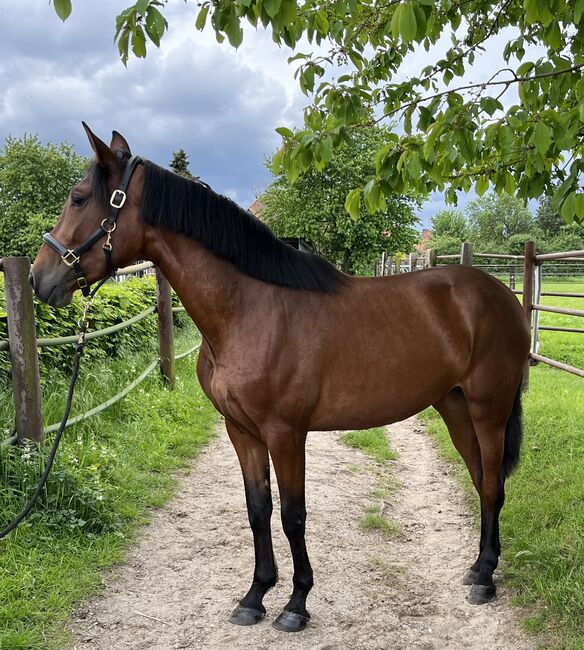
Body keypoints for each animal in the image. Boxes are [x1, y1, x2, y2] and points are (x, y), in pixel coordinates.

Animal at [33, 124, 532, 632]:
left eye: (78, 198)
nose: (39, 279)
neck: (249, 311)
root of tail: (501, 294)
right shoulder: (242, 431)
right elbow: (258, 510)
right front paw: (255, 596)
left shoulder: (286, 433)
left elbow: (294, 515)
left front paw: (296, 604)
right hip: (454, 405)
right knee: (482, 480)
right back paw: (477, 568)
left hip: (488, 410)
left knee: (492, 484)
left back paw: (485, 580)